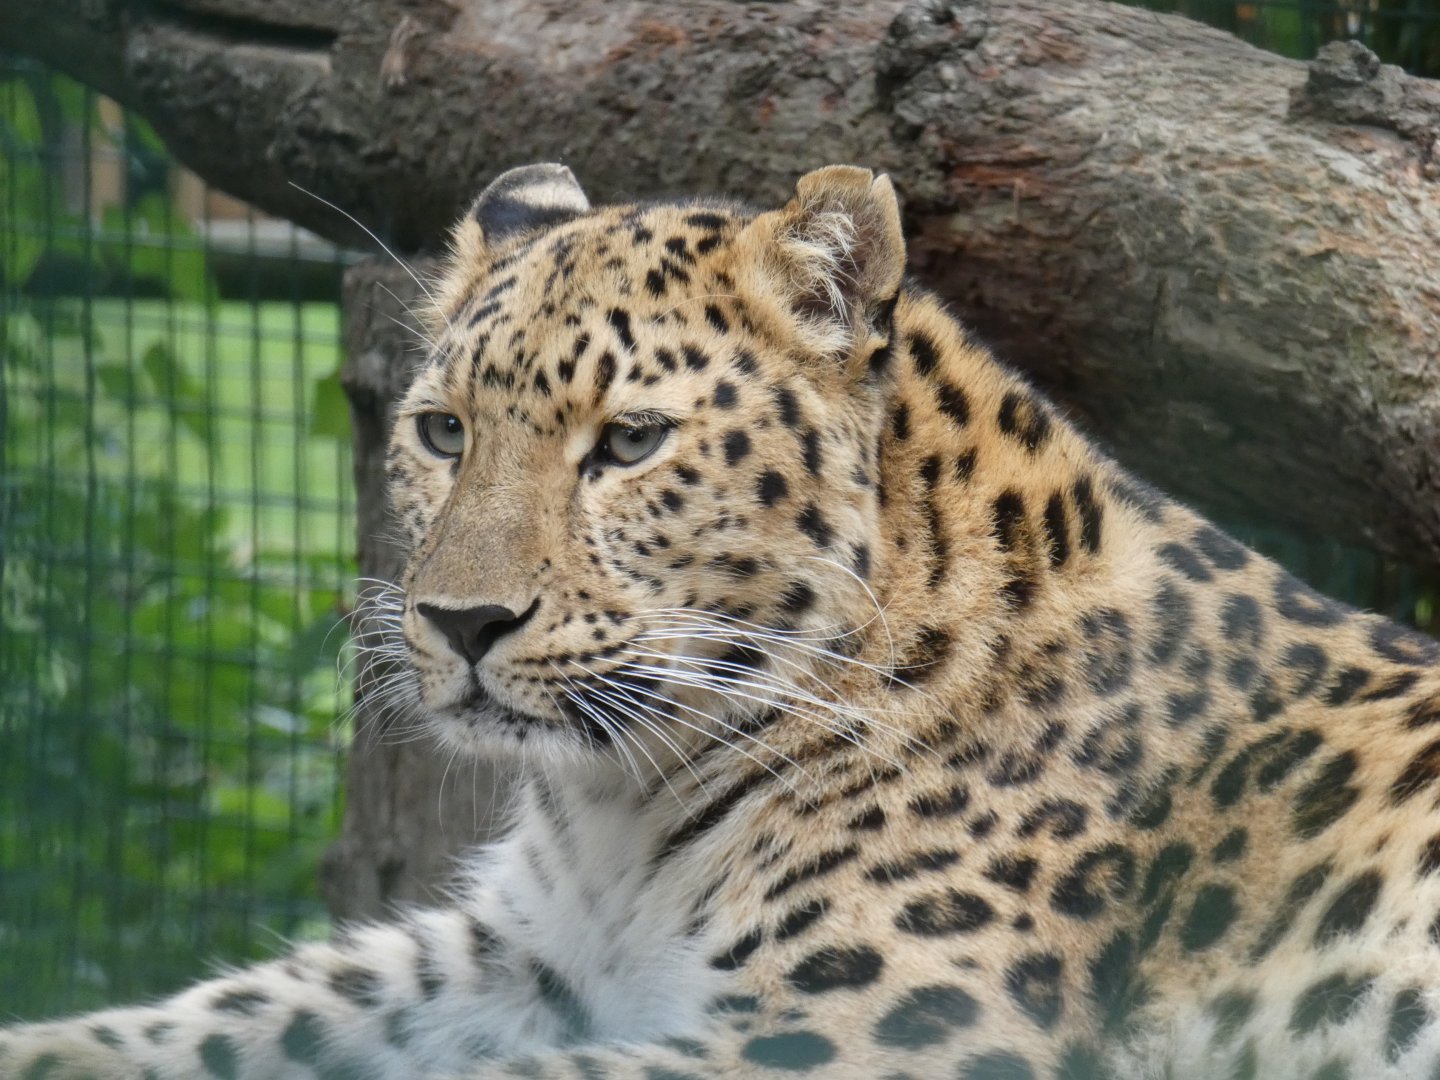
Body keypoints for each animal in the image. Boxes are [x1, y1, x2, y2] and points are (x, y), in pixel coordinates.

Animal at [5, 162, 1440, 1080]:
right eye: (442, 433)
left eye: (630, 441)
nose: (462, 624)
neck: (623, 814)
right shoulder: (524, 954)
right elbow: (267, 1005)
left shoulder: (858, 1037)